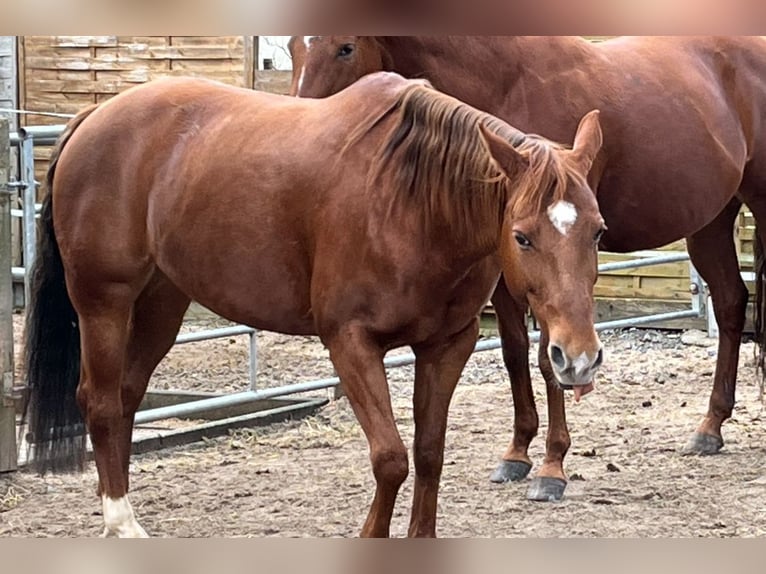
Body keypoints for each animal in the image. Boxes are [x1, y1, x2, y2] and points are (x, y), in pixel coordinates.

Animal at [24, 73, 608, 540]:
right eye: (522, 236)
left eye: (598, 232)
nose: (578, 358)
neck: (411, 203)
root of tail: (93, 117)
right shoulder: (350, 342)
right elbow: (390, 459)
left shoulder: (447, 345)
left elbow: (428, 452)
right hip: (104, 301)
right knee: (100, 403)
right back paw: (121, 522)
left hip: (162, 304)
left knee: (125, 396)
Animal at [294, 36, 766, 502]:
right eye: (293, 47)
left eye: (345, 48)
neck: (506, 82)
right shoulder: (508, 266)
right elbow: (514, 352)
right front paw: (518, 451)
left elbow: (546, 358)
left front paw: (552, 465)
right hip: (710, 222)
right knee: (730, 304)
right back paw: (711, 426)